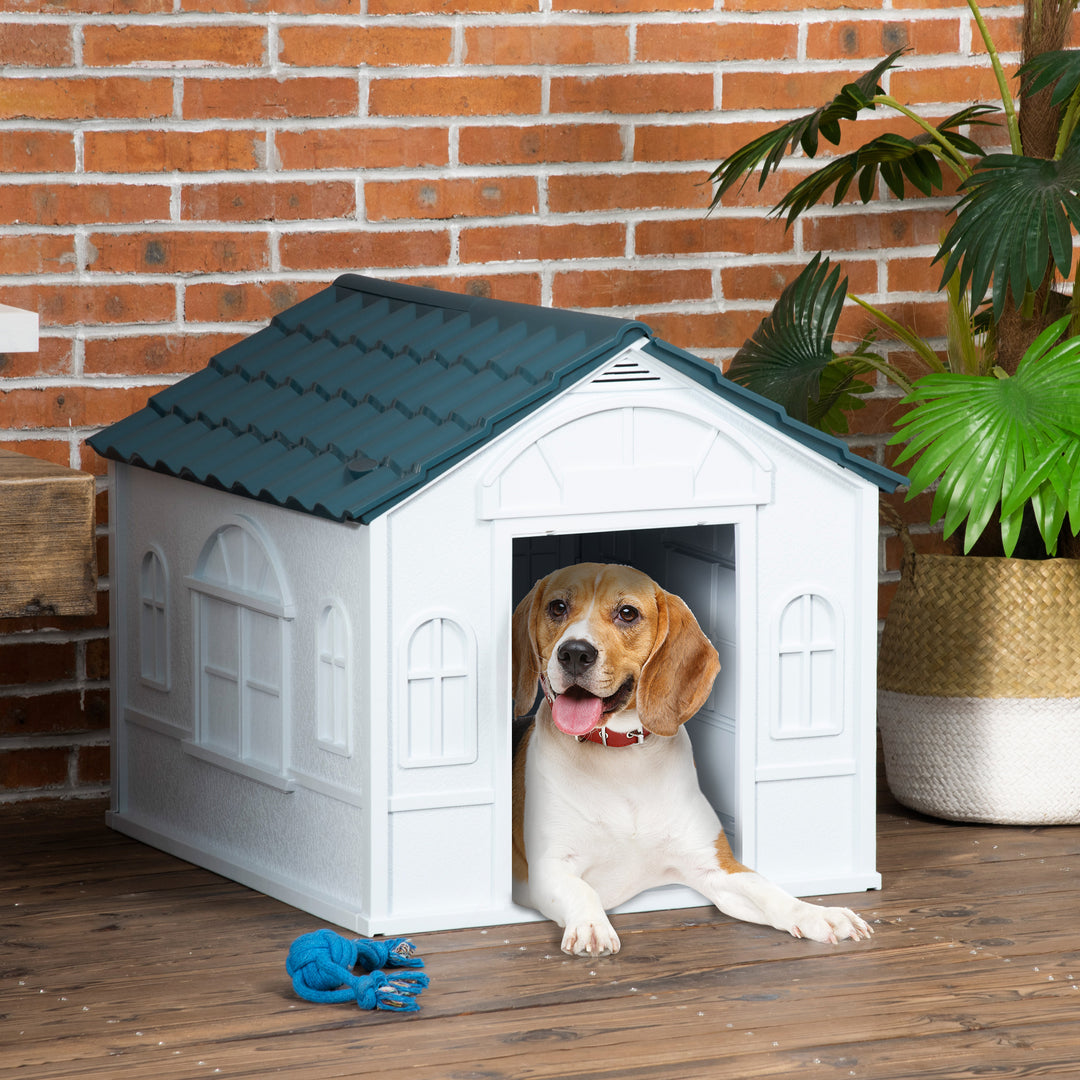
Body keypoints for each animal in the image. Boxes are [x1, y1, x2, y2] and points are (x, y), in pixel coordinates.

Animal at [509, 561, 872, 959]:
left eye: (627, 613)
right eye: (558, 607)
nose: (574, 653)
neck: (621, 760)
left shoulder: (716, 867)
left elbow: (769, 890)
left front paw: (819, 914)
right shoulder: (548, 868)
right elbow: (581, 889)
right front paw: (592, 924)